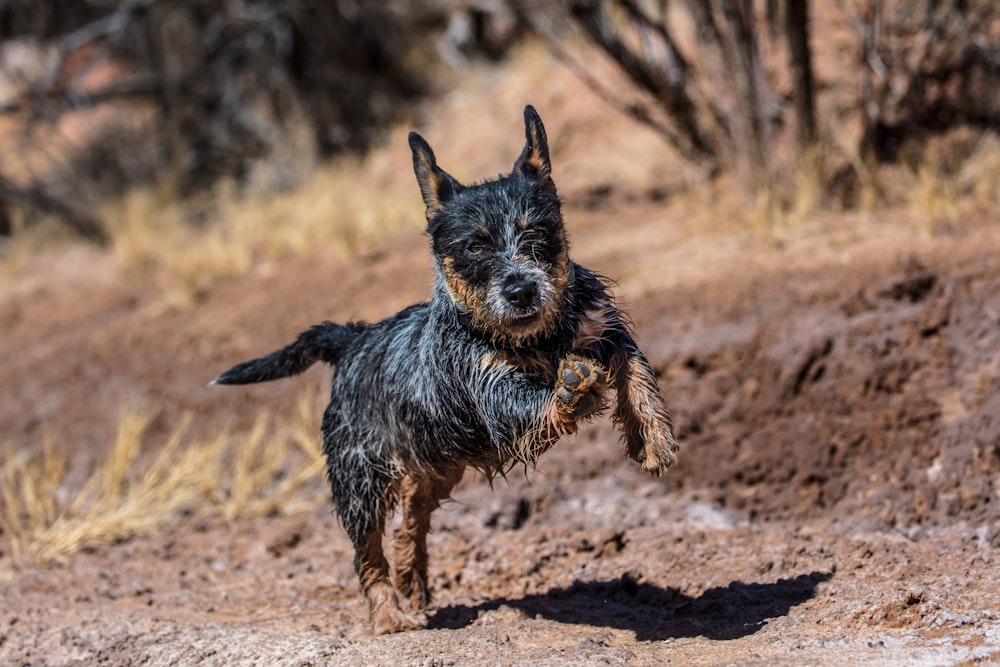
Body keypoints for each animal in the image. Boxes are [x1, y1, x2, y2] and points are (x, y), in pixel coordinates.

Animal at [214, 105, 676, 636]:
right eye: (475, 247)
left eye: (537, 232)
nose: (521, 290)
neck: (539, 339)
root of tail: (352, 340)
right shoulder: (488, 387)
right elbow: (530, 401)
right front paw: (570, 390)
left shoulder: (602, 327)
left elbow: (635, 370)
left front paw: (652, 437)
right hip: (360, 481)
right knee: (367, 554)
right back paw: (388, 613)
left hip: (433, 468)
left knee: (410, 526)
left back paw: (412, 582)